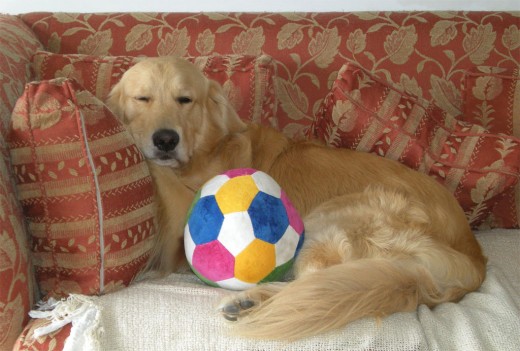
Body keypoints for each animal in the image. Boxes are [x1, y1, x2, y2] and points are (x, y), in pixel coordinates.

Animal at [108, 57, 488, 340]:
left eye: (185, 100)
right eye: (142, 98)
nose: (165, 140)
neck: (206, 151)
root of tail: (474, 258)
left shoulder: (178, 238)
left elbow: (160, 174)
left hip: (333, 219)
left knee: (317, 285)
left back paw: (251, 301)